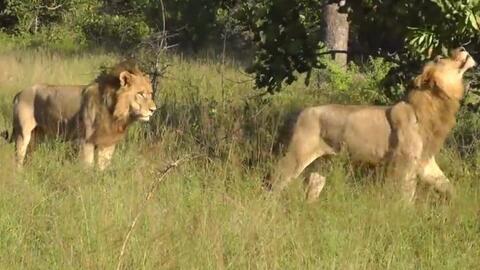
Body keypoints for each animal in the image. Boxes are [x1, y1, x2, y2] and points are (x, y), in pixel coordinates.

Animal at [8, 60, 156, 169]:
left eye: (150, 93)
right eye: (140, 94)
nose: (154, 109)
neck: (115, 111)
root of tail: (19, 93)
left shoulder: (107, 143)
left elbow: (102, 167)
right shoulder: (86, 141)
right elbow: (87, 167)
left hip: (38, 135)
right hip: (23, 133)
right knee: (19, 157)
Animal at [270, 47, 476, 202]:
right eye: (441, 58)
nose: (462, 48)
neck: (436, 105)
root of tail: (305, 110)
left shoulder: (426, 162)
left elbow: (447, 186)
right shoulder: (404, 164)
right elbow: (405, 195)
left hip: (323, 163)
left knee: (313, 186)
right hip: (297, 156)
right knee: (276, 182)